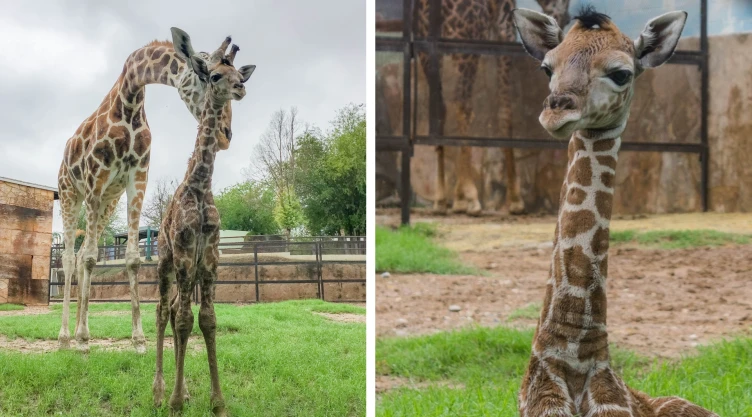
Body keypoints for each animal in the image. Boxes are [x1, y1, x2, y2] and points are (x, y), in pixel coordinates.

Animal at [57, 28, 238, 353]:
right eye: (207, 75)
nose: (225, 135)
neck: (129, 103)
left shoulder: (137, 178)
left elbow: (131, 258)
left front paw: (138, 339)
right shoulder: (95, 179)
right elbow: (90, 257)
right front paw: (84, 340)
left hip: (107, 202)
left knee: (80, 254)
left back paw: (77, 329)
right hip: (71, 194)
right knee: (69, 257)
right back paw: (66, 337)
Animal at [152, 41, 254, 417]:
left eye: (240, 74)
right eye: (214, 76)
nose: (240, 88)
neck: (199, 183)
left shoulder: (209, 260)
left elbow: (207, 320)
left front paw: (217, 402)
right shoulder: (184, 254)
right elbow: (184, 321)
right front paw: (175, 403)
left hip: (190, 272)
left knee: (175, 311)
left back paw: (178, 390)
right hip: (166, 264)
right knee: (163, 312)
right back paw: (159, 391)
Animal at [410, 0, 570, 216]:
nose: (564, 18)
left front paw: (458, 199)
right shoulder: (503, 29)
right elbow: (505, 110)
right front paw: (515, 199)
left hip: (428, 49)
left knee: (440, 109)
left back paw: (441, 199)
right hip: (465, 44)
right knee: (463, 105)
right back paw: (471, 196)